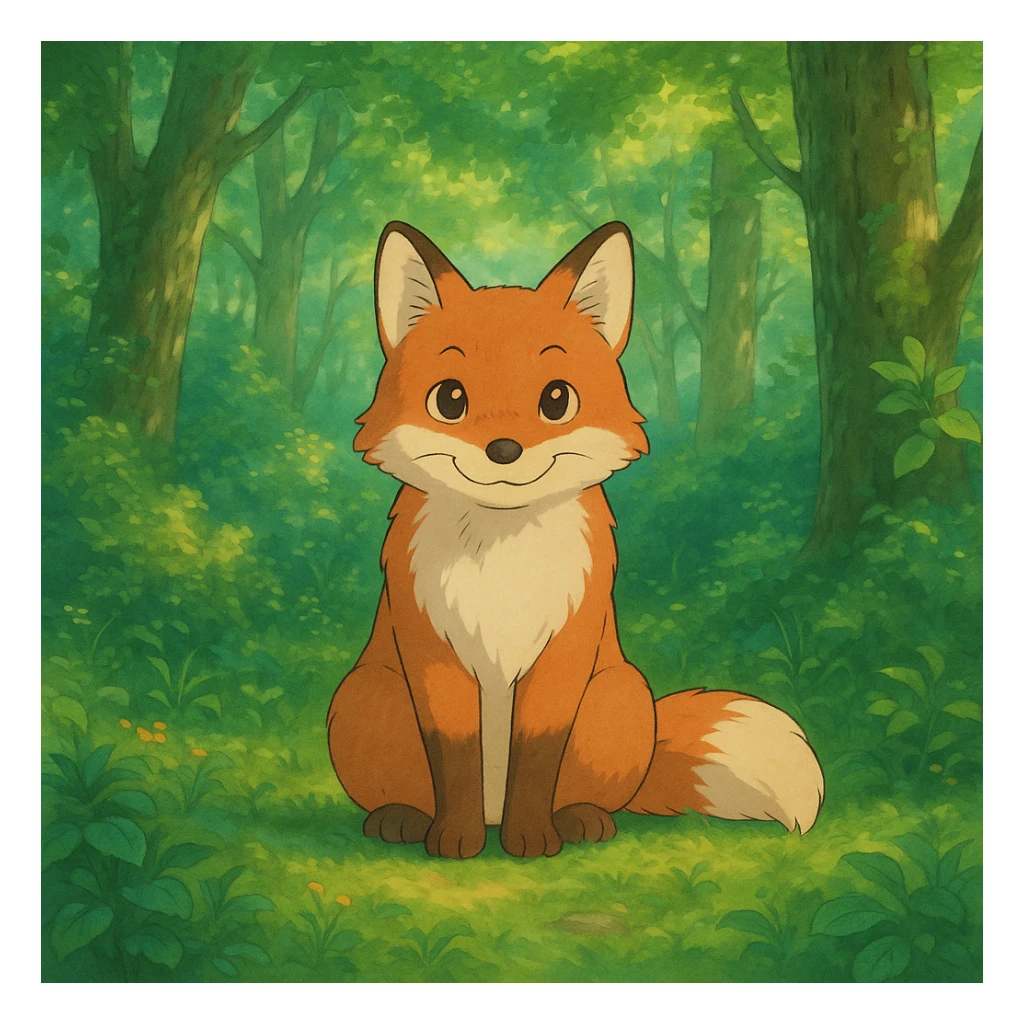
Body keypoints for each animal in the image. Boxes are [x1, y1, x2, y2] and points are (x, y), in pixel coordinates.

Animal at [326, 220, 824, 859]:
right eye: (450, 399)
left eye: (556, 399)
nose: (504, 449)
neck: (502, 558)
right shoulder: (436, 655)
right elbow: (456, 760)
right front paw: (456, 838)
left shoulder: (564, 652)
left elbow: (539, 756)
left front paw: (533, 837)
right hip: (368, 695)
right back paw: (404, 818)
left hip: (619, 694)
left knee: (588, 793)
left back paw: (580, 819)